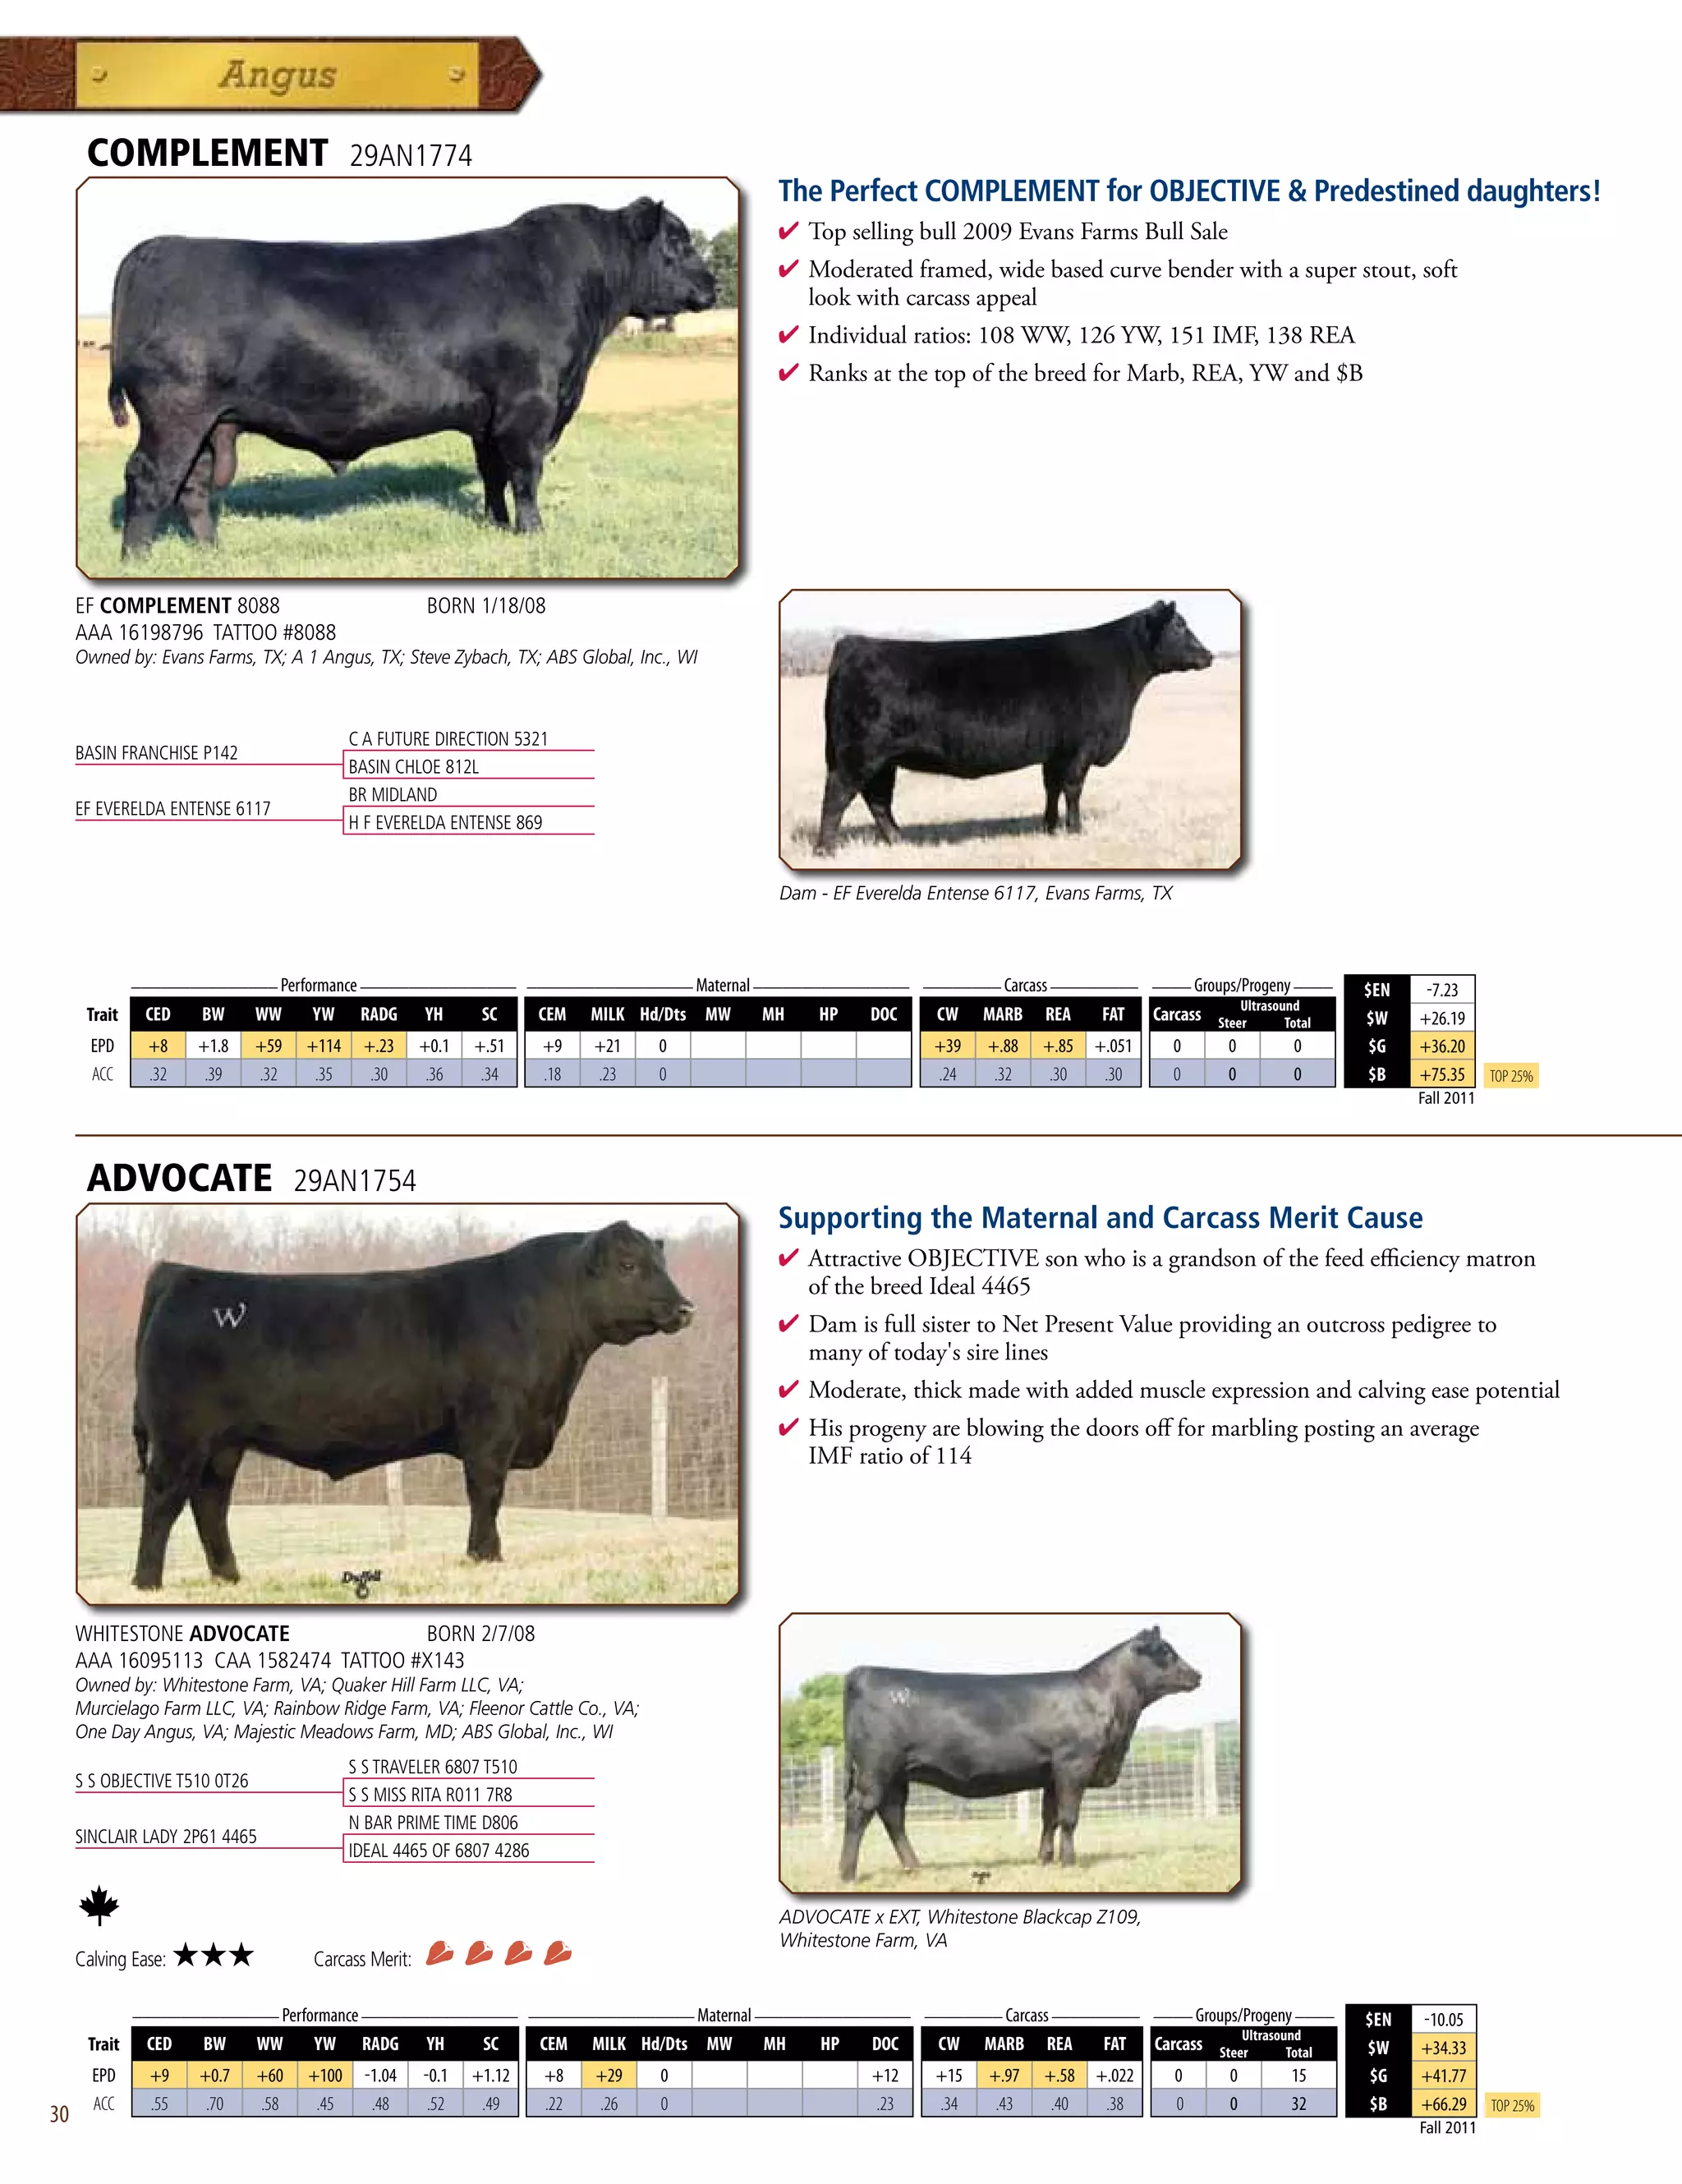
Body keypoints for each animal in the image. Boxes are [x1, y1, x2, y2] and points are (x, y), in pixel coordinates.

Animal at [107, 197, 716, 557]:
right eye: (677, 243)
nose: (712, 285)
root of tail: (156, 248)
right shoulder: (530, 406)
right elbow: (525, 474)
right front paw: (533, 534)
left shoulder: (488, 415)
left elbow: (493, 475)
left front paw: (495, 525)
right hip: (175, 415)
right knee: (150, 480)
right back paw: (139, 560)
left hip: (211, 424)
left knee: (192, 486)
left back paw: (212, 552)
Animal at [127, 1221, 694, 1590]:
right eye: (628, 1265)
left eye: (663, 1263)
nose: (685, 1308)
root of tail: (183, 1274)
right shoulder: (491, 1425)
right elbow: (486, 1490)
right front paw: (485, 1557)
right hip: (181, 1438)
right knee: (162, 1501)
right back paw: (147, 1583)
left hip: (224, 1445)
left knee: (210, 1503)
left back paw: (229, 1578)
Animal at [814, 601, 1214, 853]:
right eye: (1180, 626)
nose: (1208, 655)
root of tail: (853, 643)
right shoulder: (1081, 746)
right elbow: (1073, 789)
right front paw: (1076, 830)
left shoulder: (1055, 751)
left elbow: (1052, 788)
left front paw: (1050, 827)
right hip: (860, 752)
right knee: (838, 793)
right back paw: (825, 850)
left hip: (884, 759)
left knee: (878, 799)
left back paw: (900, 842)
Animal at [838, 1627, 1202, 1881]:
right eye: (1166, 1652)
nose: (1197, 1675)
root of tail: (862, 1671)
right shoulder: (1074, 1764)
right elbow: (1069, 1818)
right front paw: (1070, 1864)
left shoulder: (1052, 1773)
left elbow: (1050, 1817)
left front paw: (1044, 1860)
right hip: (877, 1768)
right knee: (861, 1811)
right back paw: (847, 1874)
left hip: (897, 1774)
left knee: (892, 1815)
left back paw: (915, 1868)